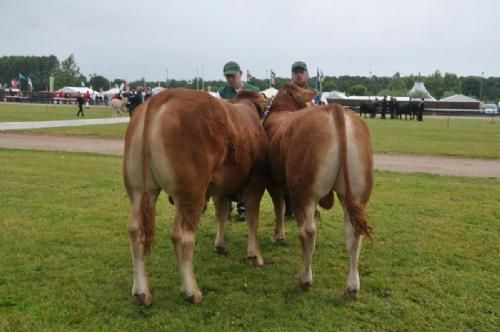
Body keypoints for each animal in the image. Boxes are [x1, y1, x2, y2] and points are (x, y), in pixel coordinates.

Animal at [122, 89, 268, 306]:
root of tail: (162, 97)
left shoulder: (219, 186)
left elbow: (221, 213)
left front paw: (221, 245)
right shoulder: (256, 182)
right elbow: (252, 219)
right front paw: (254, 255)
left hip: (139, 190)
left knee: (135, 231)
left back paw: (142, 292)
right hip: (191, 193)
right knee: (182, 236)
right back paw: (191, 291)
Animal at [264, 83, 374, 298]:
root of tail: (335, 109)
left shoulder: (273, 182)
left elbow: (279, 208)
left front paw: (278, 235)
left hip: (304, 193)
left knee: (308, 231)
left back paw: (305, 279)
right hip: (357, 194)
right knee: (353, 235)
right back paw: (352, 287)